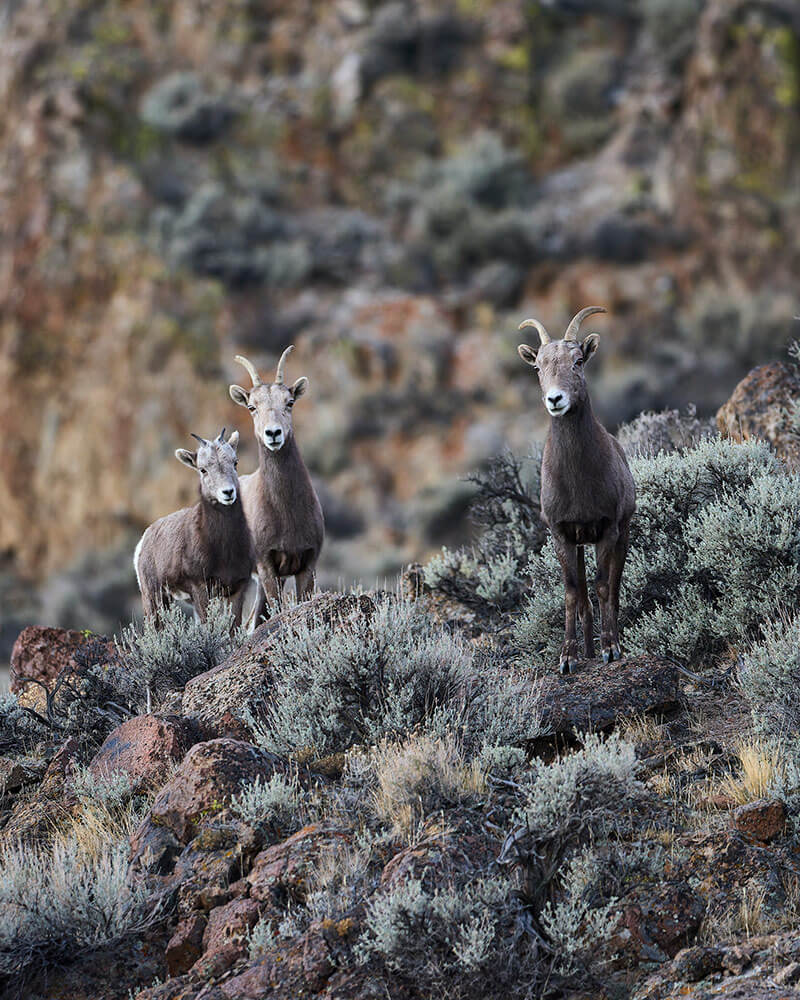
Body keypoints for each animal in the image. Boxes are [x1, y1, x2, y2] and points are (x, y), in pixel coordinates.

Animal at [133, 429, 253, 625]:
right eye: (203, 470)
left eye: (235, 462)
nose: (228, 492)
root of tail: (143, 541)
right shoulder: (200, 588)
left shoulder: (237, 588)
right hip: (153, 598)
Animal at [228, 347, 324, 625]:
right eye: (252, 407)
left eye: (289, 402)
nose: (273, 434)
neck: (286, 512)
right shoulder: (267, 567)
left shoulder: (307, 565)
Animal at [517, 306, 636, 673]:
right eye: (538, 367)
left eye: (578, 361)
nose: (555, 399)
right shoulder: (562, 534)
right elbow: (572, 593)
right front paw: (568, 658)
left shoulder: (608, 530)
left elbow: (603, 588)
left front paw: (611, 649)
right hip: (581, 545)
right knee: (583, 600)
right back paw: (587, 650)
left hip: (621, 535)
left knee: (613, 591)